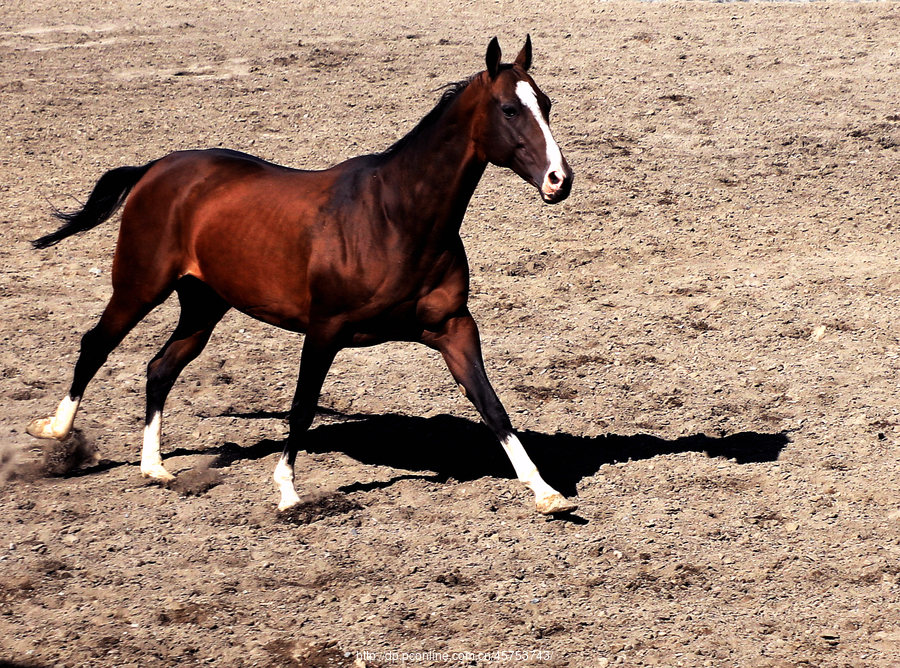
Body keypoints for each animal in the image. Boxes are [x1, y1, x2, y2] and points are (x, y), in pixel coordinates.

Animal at [28, 35, 580, 516]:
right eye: (509, 110)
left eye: (547, 104)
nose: (560, 180)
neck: (397, 218)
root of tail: (156, 167)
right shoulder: (324, 330)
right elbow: (302, 406)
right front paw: (288, 492)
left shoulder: (453, 329)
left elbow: (493, 407)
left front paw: (547, 493)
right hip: (140, 286)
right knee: (95, 344)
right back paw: (54, 431)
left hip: (204, 303)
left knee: (161, 367)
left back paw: (154, 468)